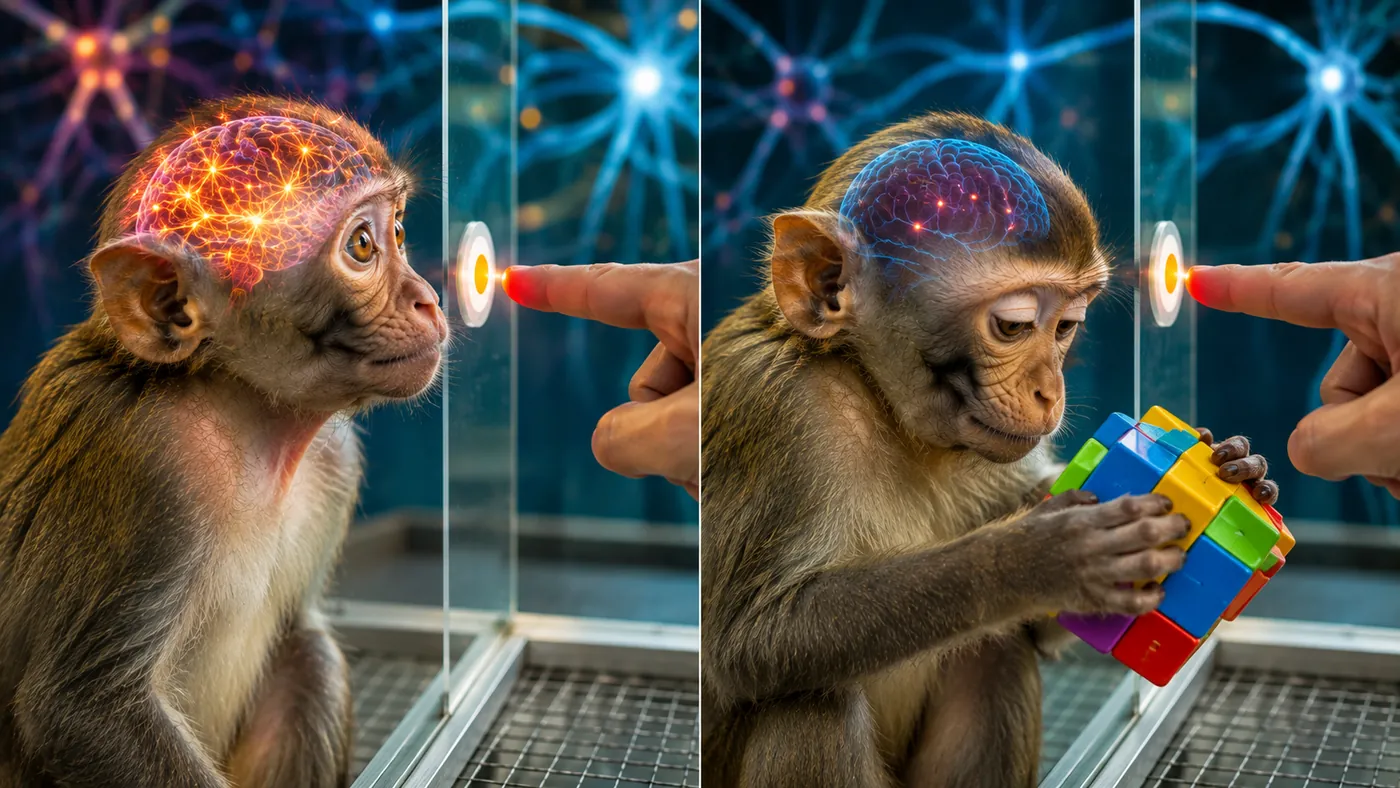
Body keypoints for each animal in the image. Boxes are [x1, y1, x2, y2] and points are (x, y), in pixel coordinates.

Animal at [0, 95, 445, 788]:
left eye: (398, 233)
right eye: (362, 245)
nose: (429, 300)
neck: (247, 417)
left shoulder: (335, 461)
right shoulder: (150, 464)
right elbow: (80, 711)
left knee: (308, 655)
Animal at [699, 112, 1280, 788]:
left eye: (1066, 326)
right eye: (1014, 325)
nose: (1050, 391)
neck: (881, 403)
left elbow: (1041, 627)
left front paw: (1239, 466)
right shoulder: (777, 411)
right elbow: (749, 642)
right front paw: (1035, 558)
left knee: (996, 651)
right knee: (813, 701)